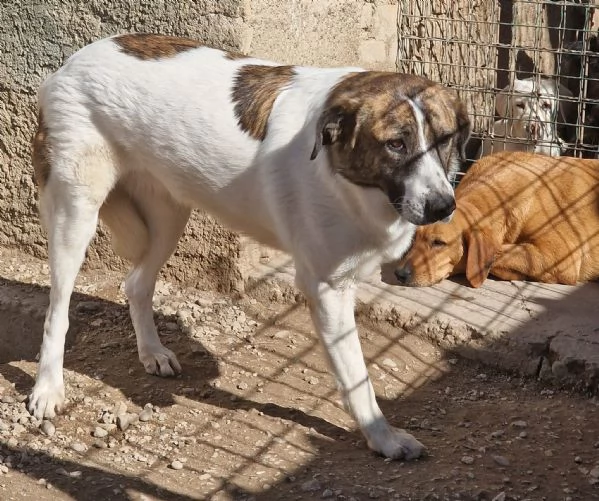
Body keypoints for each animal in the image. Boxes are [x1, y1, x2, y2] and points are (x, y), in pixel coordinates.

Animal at [28, 33, 472, 458]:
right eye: (395, 144)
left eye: (445, 139)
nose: (443, 206)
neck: (348, 178)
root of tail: (71, 62)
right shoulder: (327, 289)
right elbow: (357, 377)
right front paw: (383, 438)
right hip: (76, 214)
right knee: (57, 312)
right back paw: (48, 388)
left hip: (169, 217)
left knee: (136, 284)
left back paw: (151, 352)